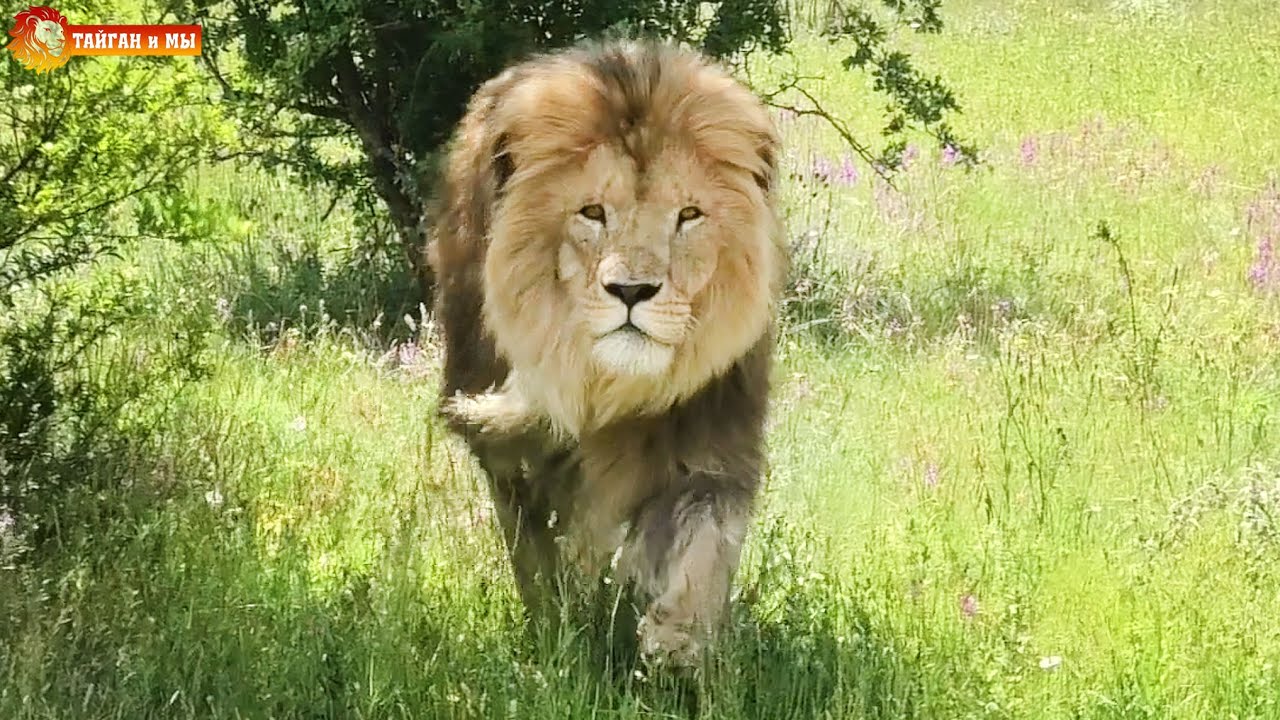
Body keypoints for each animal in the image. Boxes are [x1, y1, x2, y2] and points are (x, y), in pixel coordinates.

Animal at [429, 39, 785, 668]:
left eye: (688, 215)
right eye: (592, 213)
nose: (632, 291)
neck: (608, 386)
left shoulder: (713, 437)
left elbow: (704, 547)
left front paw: (677, 642)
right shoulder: (512, 456)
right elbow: (541, 560)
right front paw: (561, 638)